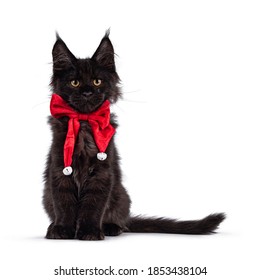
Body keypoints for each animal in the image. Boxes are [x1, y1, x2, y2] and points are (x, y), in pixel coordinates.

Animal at [42, 31, 225, 241]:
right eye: (75, 82)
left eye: (97, 81)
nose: (87, 92)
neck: (84, 122)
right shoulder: (59, 169)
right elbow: (63, 203)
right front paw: (62, 229)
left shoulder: (102, 174)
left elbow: (93, 206)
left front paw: (89, 231)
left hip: (121, 195)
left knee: (119, 219)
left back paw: (111, 227)